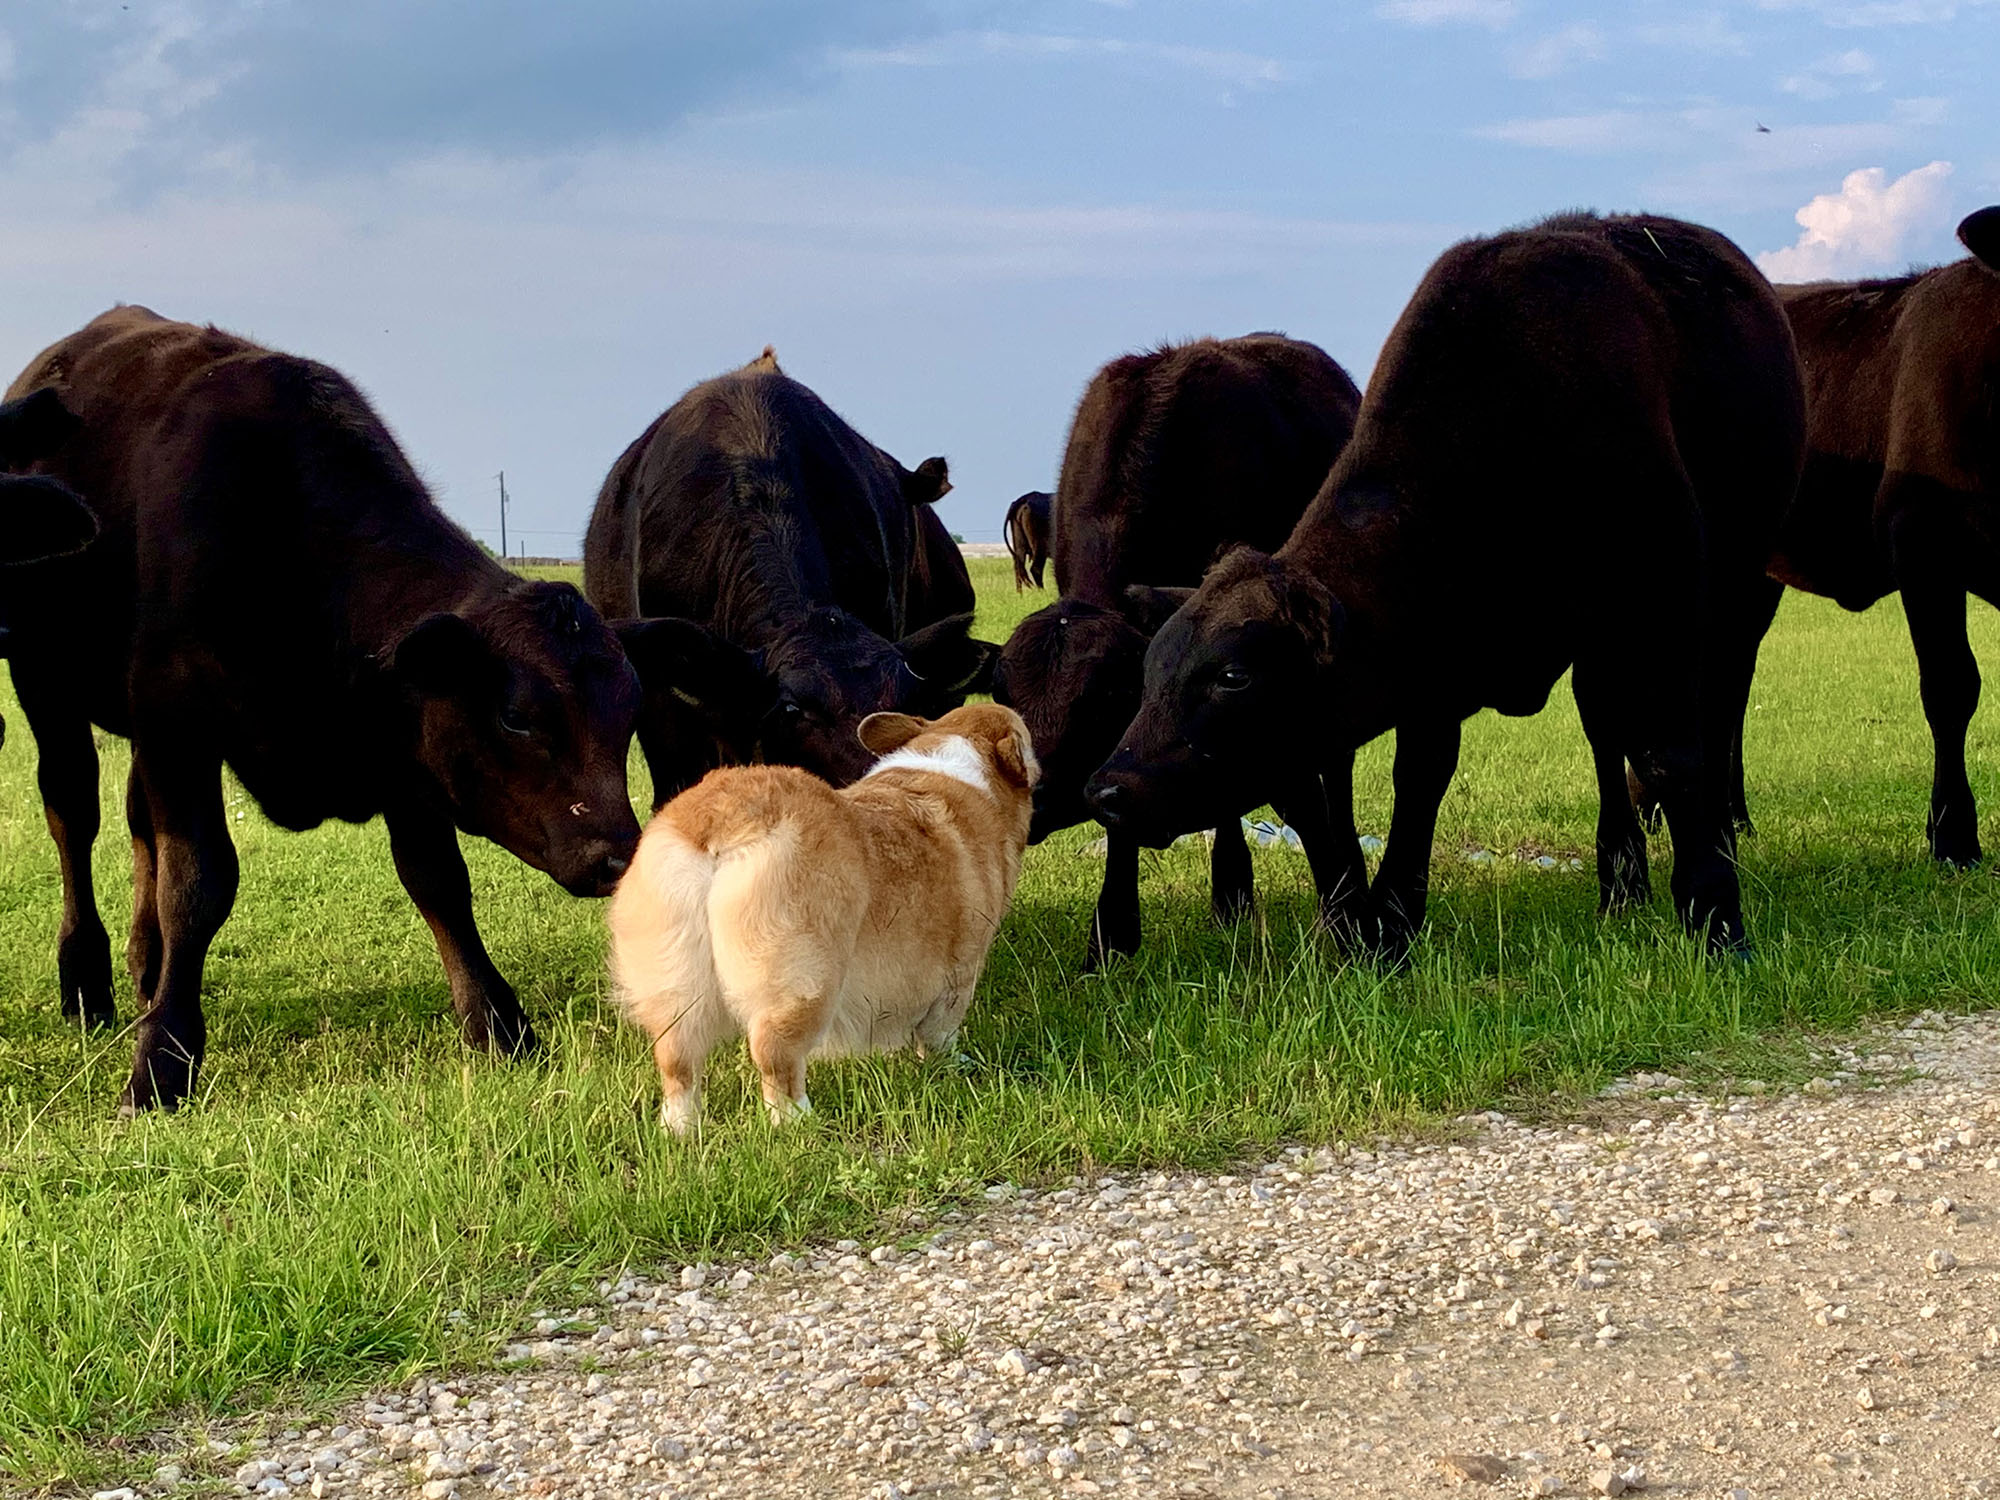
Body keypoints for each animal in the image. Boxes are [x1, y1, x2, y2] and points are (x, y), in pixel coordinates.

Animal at [604, 712, 1040, 1136]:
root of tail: (720, 818)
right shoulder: (958, 975)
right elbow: (938, 1034)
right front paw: (949, 1065)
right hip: (805, 980)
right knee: (775, 1057)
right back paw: (799, 1121)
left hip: (674, 982)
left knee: (677, 1060)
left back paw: (679, 1127)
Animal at [996, 334, 1368, 968]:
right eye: (1005, 696)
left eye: (1100, 701)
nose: (1031, 799)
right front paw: (1111, 938)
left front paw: (1343, 919)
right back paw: (1231, 896)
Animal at [1088, 210, 1808, 956]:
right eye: (1148, 673)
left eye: (1233, 676)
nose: (1109, 788)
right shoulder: (1431, 655)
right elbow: (1420, 775)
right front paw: (1392, 922)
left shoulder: (1660, 608)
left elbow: (1672, 754)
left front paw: (1715, 914)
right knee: (1605, 735)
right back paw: (1621, 883)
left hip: (1729, 596)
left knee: (1708, 714)